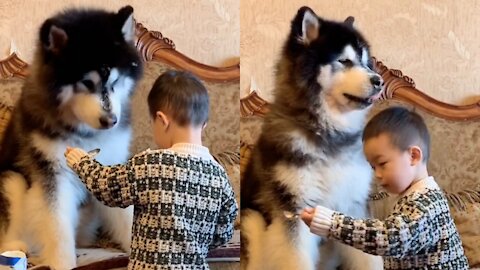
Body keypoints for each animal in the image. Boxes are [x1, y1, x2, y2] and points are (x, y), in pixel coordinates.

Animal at [0, 5, 142, 268]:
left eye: (116, 80)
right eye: (86, 83)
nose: (111, 121)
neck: (85, 133)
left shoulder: (109, 166)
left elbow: (125, 216)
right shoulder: (54, 175)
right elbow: (58, 227)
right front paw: (63, 262)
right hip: (11, 180)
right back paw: (17, 248)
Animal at [242, 6, 384, 270]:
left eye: (365, 62)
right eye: (344, 61)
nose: (379, 80)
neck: (327, 131)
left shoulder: (353, 206)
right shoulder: (294, 213)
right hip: (252, 220)